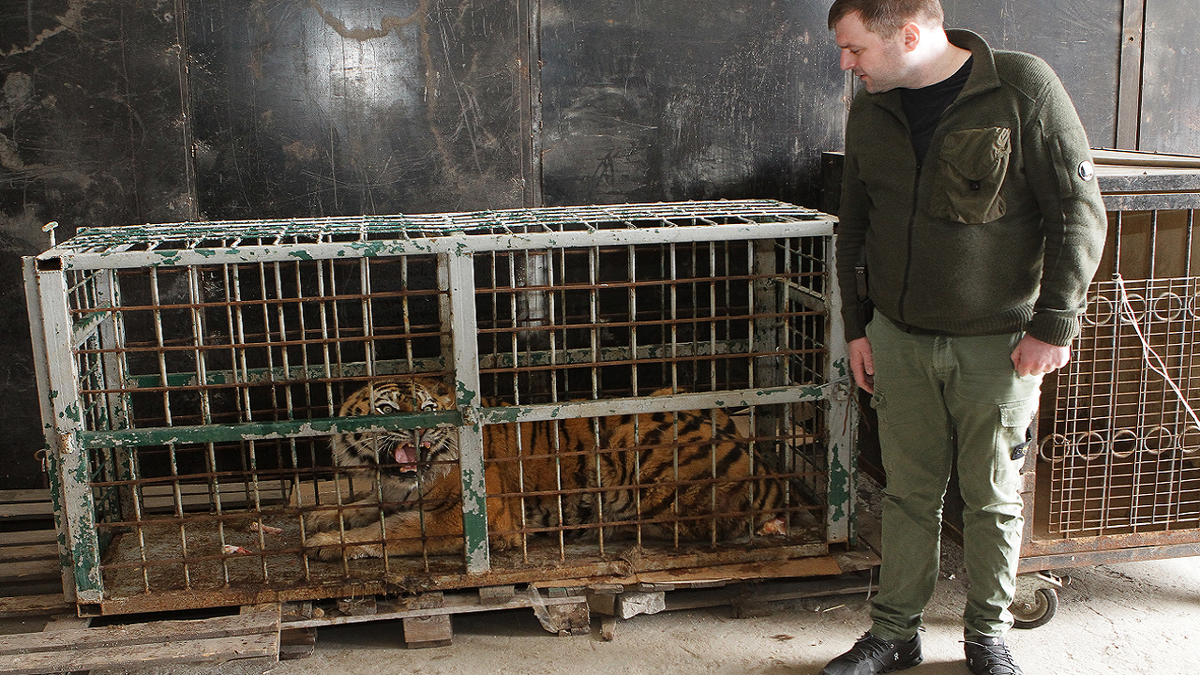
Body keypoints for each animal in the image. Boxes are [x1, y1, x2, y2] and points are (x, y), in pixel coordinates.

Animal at [304, 374, 792, 559]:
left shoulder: (476, 518)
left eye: (426, 409)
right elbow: (364, 504)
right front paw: (320, 516)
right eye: (387, 410)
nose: (419, 431)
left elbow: (394, 530)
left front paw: (328, 543)